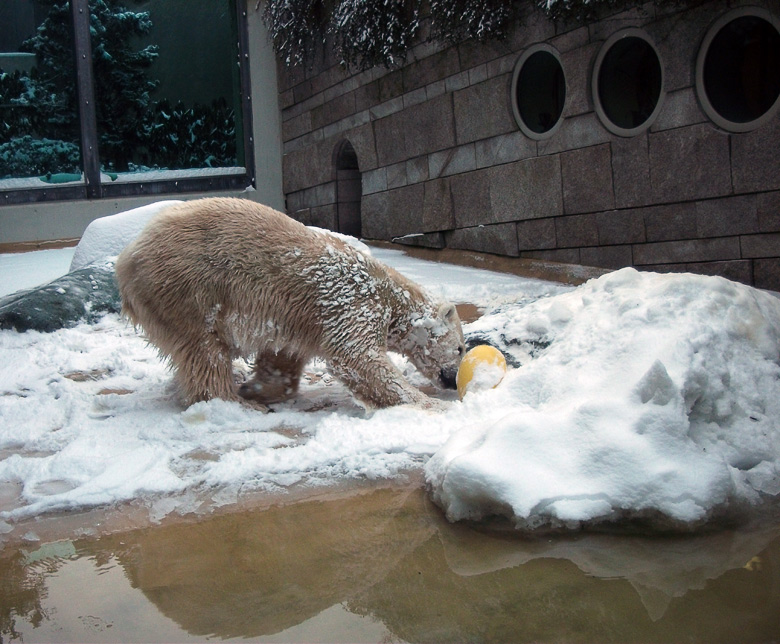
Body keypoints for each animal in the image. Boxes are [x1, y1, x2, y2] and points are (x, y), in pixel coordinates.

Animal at [116, 196, 464, 410]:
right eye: (461, 348)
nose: (452, 380)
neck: (392, 295)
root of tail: (127, 257)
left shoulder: (301, 314)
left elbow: (283, 355)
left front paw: (262, 388)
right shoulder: (355, 301)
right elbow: (357, 357)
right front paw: (430, 405)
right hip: (188, 285)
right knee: (204, 348)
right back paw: (235, 402)